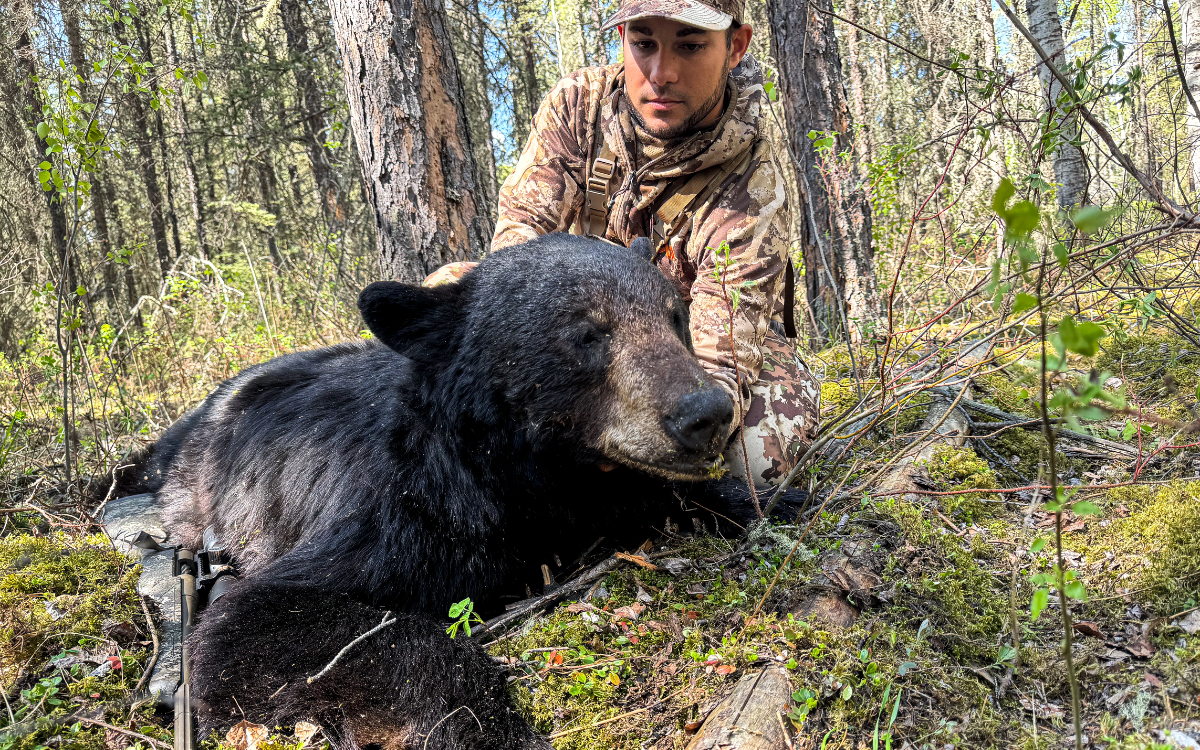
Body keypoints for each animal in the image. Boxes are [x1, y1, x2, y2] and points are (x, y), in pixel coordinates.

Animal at [126, 234, 801, 748]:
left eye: (674, 315)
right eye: (587, 334)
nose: (706, 412)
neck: (528, 475)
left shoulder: (596, 496)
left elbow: (670, 497)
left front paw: (773, 500)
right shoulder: (402, 515)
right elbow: (255, 624)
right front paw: (488, 726)